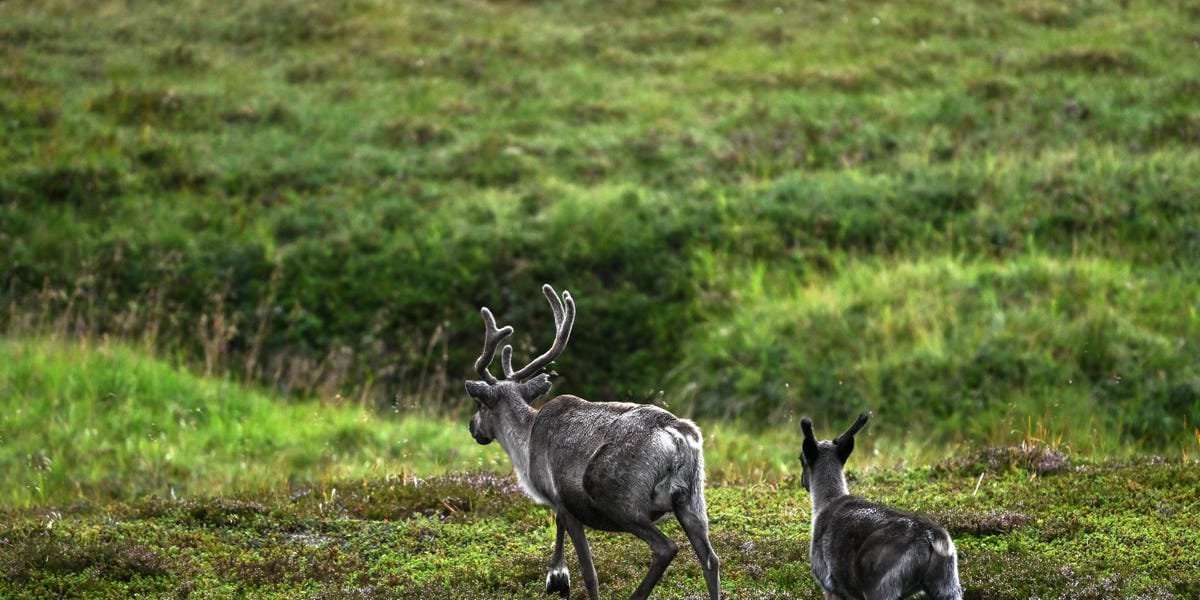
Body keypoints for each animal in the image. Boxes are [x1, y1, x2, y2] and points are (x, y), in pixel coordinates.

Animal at [464, 284, 720, 600]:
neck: (524, 443)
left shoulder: (563, 501)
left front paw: (559, 577)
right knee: (710, 559)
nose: (472, 428)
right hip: (693, 499)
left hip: (617, 498)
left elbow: (589, 572)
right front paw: (556, 577)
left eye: (479, 404)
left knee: (666, 548)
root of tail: (676, 432)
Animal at [799, 413, 962, 600]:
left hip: (882, 588)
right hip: (948, 584)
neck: (825, 503)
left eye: (801, 459)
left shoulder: (830, 587)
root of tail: (932, 538)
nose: (802, 482)